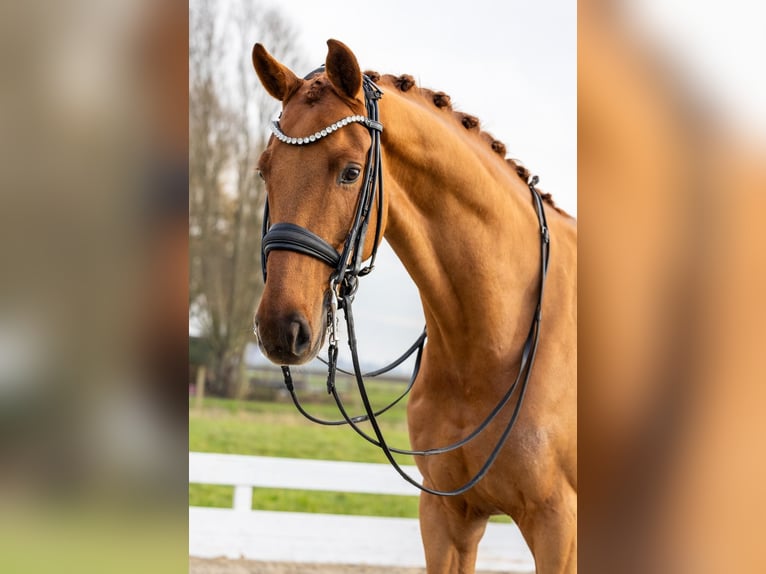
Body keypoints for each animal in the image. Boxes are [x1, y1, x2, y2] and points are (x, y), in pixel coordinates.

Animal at [251, 39, 577, 574]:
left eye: (351, 172)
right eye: (265, 170)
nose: (281, 329)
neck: (491, 341)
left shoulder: (559, 527)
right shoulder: (447, 517)